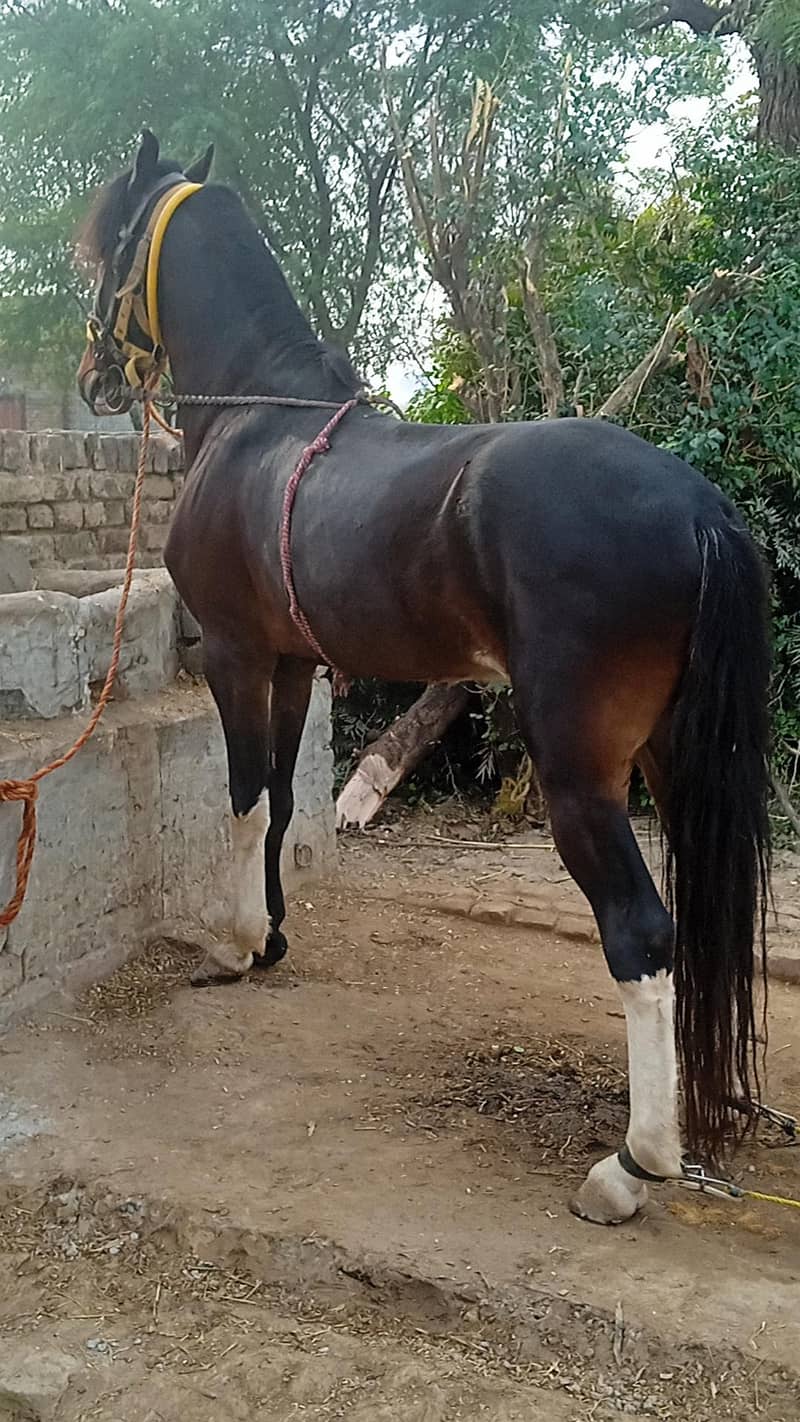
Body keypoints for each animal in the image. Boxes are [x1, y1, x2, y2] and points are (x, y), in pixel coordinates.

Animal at [76, 131, 771, 1226]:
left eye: (111, 242)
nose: (95, 372)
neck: (257, 416)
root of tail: (698, 504)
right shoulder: (293, 665)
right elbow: (282, 803)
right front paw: (275, 939)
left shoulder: (234, 654)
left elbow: (239, 800)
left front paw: (234, 948)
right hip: (673, 758)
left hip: (580, 773)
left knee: (640, 928)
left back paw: (633, 1165)